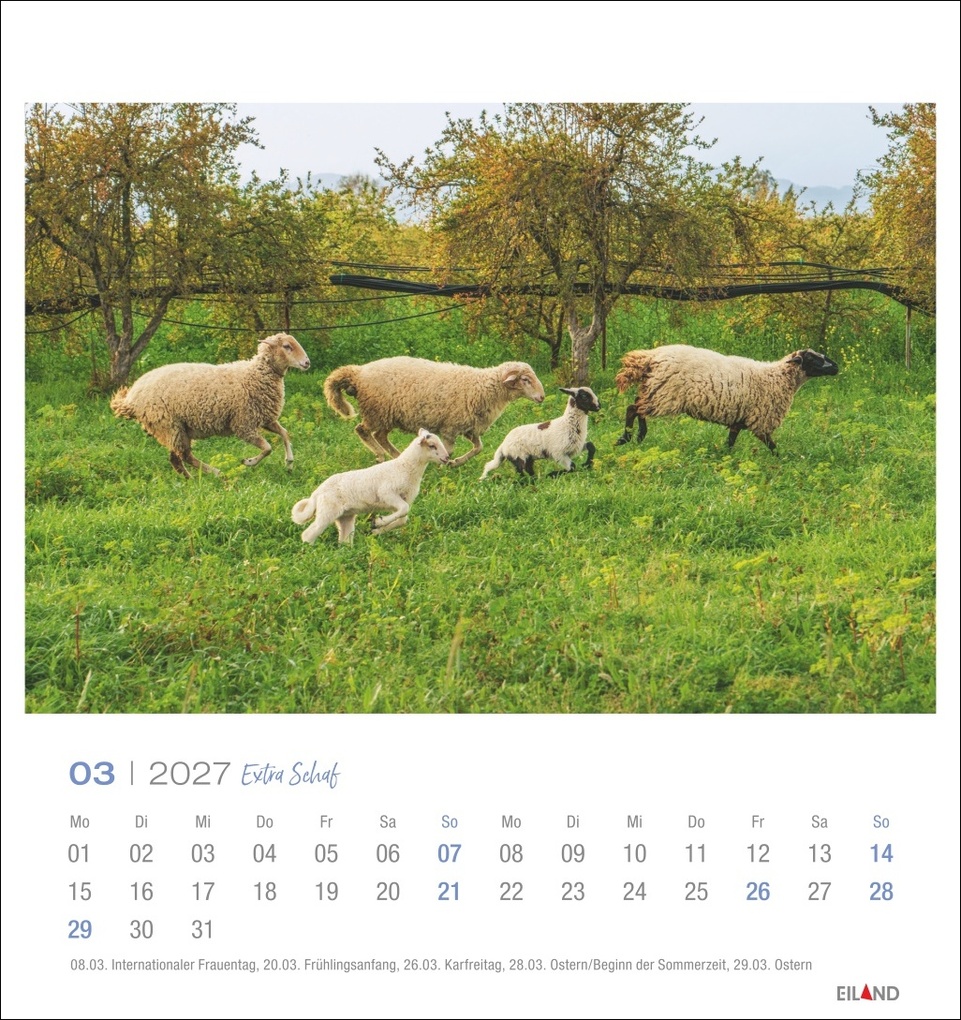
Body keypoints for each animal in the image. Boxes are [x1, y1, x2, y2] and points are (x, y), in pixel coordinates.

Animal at [111, 333, 310, 477]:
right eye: (287, 346)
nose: (307, 363)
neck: (255, 374)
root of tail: (131, 398)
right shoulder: (243, 424)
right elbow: (268, 448)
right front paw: (249, 462)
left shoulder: (265, 418)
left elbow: (284, 434)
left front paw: (289, 462)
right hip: (169, 425)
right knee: (184, 456)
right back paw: (215, 473)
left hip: (175, 429)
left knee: (176, 459)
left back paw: (190, 480)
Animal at [292, 429, 449, 544]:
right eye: (432, 445)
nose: (447, 458)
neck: (405, 467)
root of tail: (316, 493)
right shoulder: (386, 493)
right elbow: (404, 510)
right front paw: (378, 522)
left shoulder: (403, 499)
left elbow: (402, 518)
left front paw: (376, 529)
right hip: (327, 511)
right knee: (309, 533)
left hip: (345, 516)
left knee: (344, 540)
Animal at [323, 356, 546, 467]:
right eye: (525, 380)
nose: (542, 397)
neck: (483, 388)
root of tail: (358, 373)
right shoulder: (450, 428)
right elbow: (449, 451)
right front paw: (444, 465)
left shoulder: (468, 427)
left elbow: (478, 448)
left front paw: (456, 463)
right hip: (376, 411)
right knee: (362, 431)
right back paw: (381, 456)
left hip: (388, 415)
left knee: (380, 436)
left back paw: (397, 456)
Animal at [614, 344, 838, 453]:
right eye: (812, 359)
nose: (836, 367)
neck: (777, 378)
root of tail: (651, 357)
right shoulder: (760, 420)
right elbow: (772, 446)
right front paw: (781, 461)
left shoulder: (739, 419)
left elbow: (730, 441)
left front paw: (724, 457)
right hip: (664, 394)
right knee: (633, 408)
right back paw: (626, 438)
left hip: (654, 389)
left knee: (637, 406)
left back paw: (638, 436)